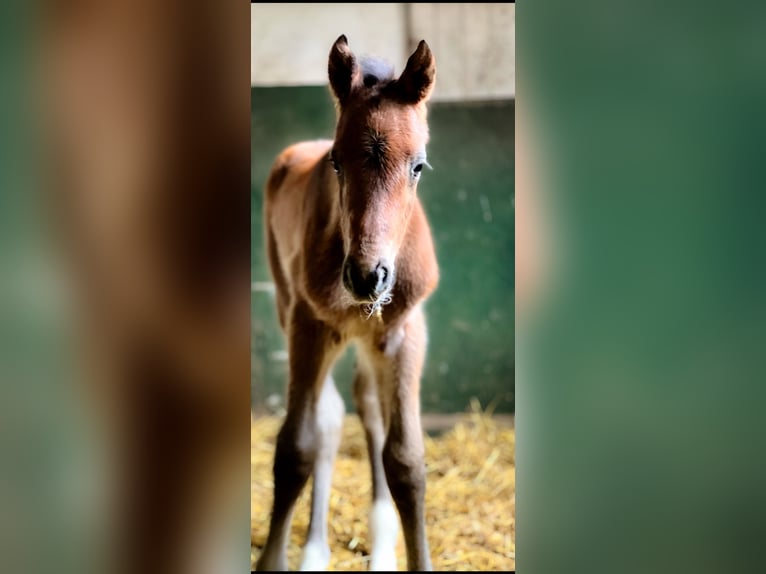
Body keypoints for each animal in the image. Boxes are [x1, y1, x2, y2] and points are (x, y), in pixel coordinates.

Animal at [256, 36, 440, 572]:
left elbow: (406, 460)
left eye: (418, 165)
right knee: (330, 417)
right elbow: (295, 448)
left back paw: (379, 545)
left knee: (367, 407)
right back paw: (314, 550)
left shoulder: (404, 332)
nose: (366, 276)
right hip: (291, 309)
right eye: (337, 162)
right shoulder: (308, 325)